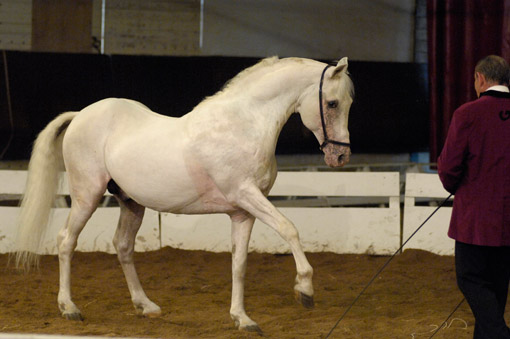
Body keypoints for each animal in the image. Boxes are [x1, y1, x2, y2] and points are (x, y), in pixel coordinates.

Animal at [13, 56, 352, 334]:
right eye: (332, 103)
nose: (340, 157)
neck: (244, 125)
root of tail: (81, 114)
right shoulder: (247, 196)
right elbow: (289, 229)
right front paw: (305, 290)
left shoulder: (242, 213)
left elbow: (239, 264)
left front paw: (242, 319)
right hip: (87, 196)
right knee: (66, 241)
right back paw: (69, 308)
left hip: (131, 204)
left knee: (123, 246)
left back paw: (145, 306)